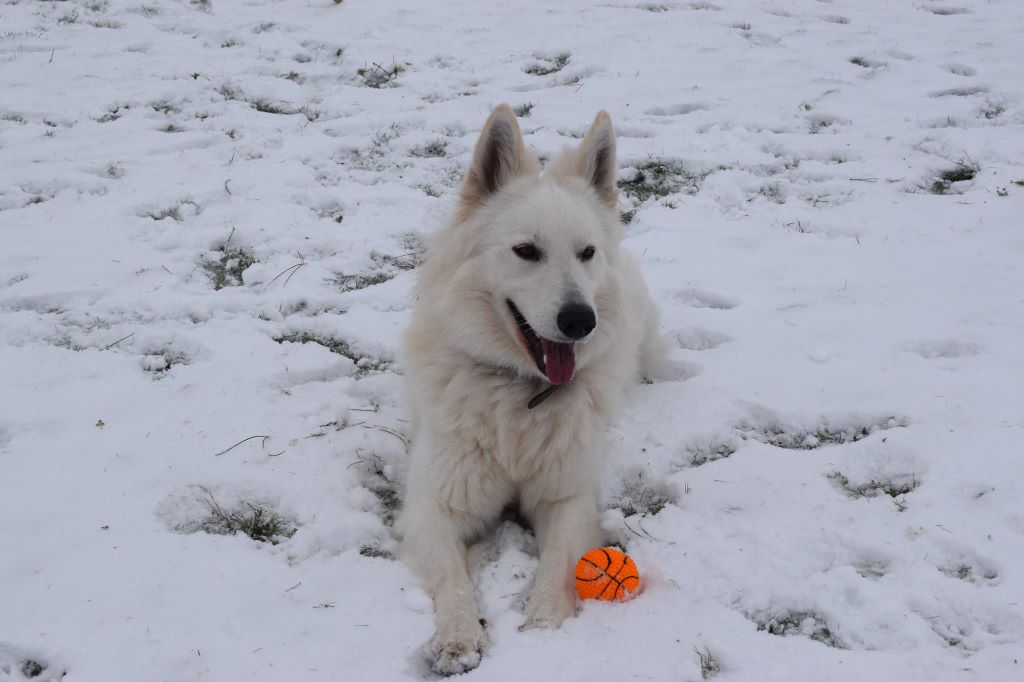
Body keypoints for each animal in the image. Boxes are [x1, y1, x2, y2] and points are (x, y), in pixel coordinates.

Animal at [397, 104, 666, 675]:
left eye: (586, 252)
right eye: (526, 251)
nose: (580, 321)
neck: (519, 395)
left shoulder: (568, 499)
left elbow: (558, 564)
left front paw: (544, 626)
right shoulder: (434, 507)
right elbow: (454, 580)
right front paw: (458, 638)